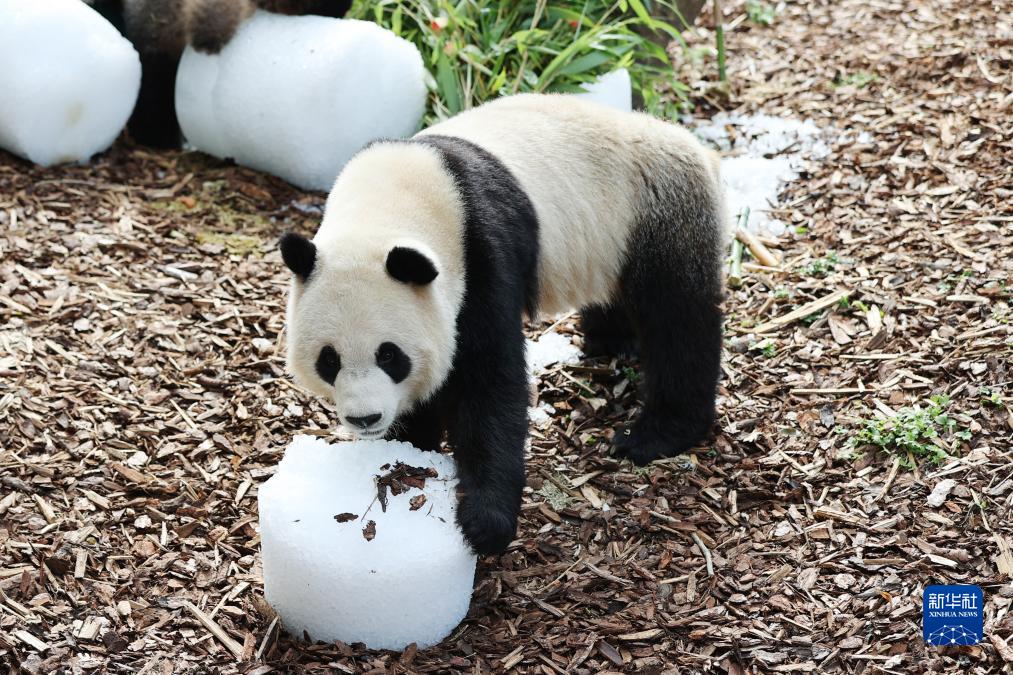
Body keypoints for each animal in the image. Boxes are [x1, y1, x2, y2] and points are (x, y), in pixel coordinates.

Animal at [277, 93, 729, 551]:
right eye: (329, 360)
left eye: (389, 356)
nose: (364, 419)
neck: (390, 201)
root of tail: (697, 149)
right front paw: (408, 450)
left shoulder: (480, 255)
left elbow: (490, 382)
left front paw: (484, 522)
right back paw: (613, 341)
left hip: (659, 212)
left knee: (678, 324)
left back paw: (655, 433)